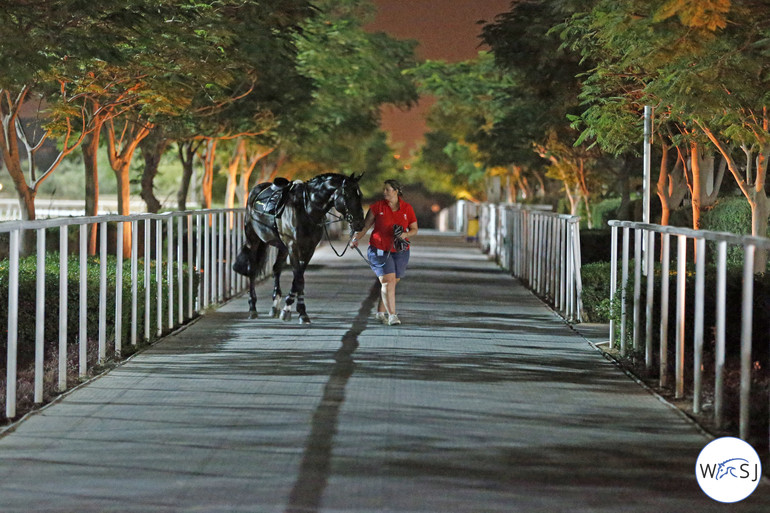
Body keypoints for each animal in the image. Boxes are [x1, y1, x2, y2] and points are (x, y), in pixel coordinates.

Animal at [232, 174, 364, 322]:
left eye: (360, 195)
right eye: (347, 195)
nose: (360, 223)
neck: (306, 210)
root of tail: (256, 190)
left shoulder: (309, 249)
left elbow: (299, 278)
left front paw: (300, 311)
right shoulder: (293, 247)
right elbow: (298, 279)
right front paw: (289, 310)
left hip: (281, 247)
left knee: (276, 269)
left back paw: (275, 306)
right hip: (253, 240)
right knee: (252, 270)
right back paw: (252, 308)